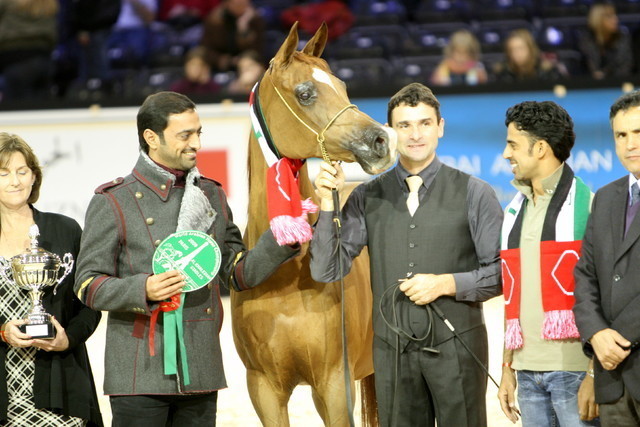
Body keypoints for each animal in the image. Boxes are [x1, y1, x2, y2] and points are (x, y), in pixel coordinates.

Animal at [230, 22, 396, 426]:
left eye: (343, 86)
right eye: (305, 93)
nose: (380, 141)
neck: (286, 276)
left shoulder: (334, 386)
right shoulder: (264, 391)